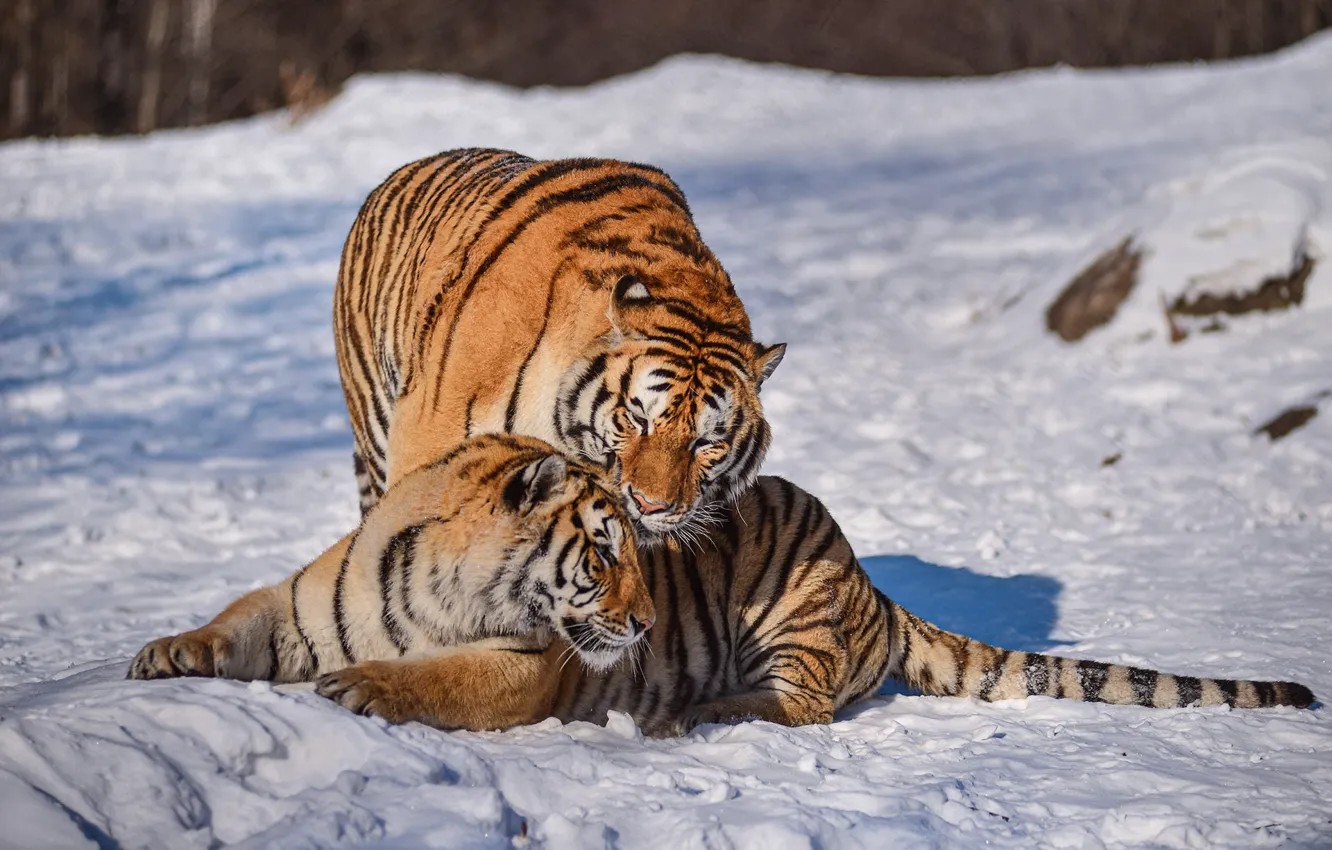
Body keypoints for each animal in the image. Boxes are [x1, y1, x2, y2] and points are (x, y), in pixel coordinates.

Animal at [128, 435, 655, 732]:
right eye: (605, 552)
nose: (647, 623)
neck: (444, 590)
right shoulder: (298, 608)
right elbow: (237, 622)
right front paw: (170, 651)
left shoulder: (520, 663)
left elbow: (441, 673)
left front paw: (359, 684)